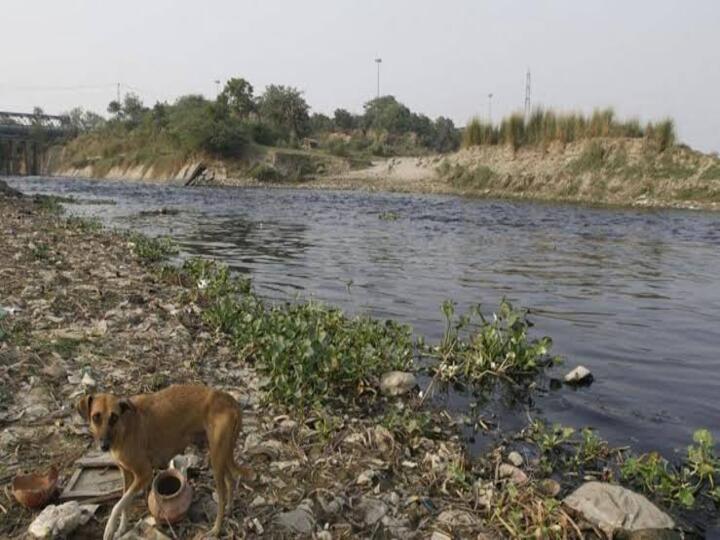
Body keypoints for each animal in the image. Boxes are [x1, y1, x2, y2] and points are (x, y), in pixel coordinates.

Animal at [76, 384, 245, 540]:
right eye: (95, 417)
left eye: (114, 418)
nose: (104, 446)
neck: (124, 428)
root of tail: (228, 399)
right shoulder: (126, 473)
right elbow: (125, 503)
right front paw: (122, 528)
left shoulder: (144, 474)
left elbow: (118, 505)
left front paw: (110, 528)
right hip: (221, 453)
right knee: (231, 480)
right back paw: (230, 508)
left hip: (217, 456)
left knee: (222, 494)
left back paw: (216, 529)